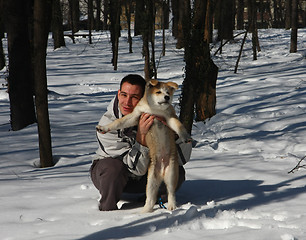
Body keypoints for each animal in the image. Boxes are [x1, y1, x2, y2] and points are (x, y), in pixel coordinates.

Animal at [95, 79, 191, 212]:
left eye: (168, 92)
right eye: (158, 92)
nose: (167, 97)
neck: (155, 110)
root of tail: (161, 172)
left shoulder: (169, 117)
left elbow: (179, 126)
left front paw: (186, 137)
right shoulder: (135, 116)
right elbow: (118, 123)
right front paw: (103, 128)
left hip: (171, 174)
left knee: (171, 192)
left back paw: (171, 206)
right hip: (151, 181)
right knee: (150, 198)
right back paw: (144, 212)